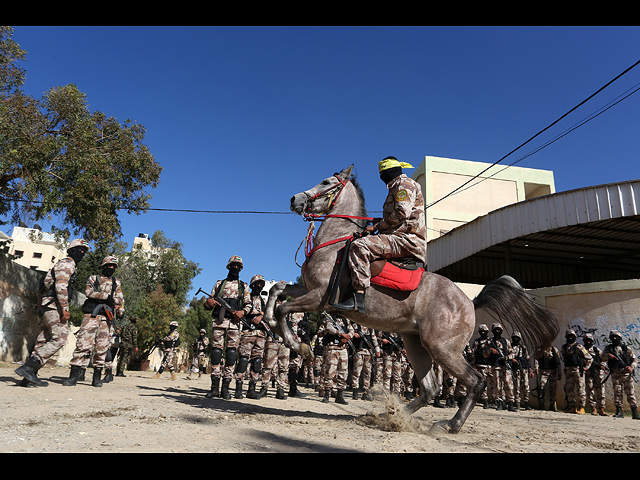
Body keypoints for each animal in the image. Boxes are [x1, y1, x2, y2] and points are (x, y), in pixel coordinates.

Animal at [262, 165, 556, 436]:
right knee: (430, 389)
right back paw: (390, 415)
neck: (335, 242)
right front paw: (269, 322)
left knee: (475, 382)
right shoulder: (307, 290)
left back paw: (449, 425)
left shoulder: (320, 298)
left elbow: (283, 308)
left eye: (325, 182)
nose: (294, 199)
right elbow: (277, 291)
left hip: (442, 349)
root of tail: (470, 302)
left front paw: (298, 345)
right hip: (416, 345)